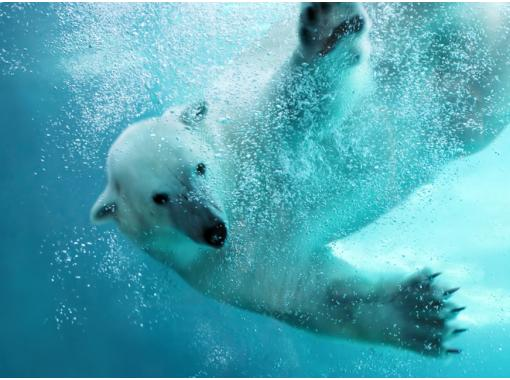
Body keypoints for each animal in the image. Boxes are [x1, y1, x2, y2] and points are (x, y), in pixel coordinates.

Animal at [91, 2, 510, 354]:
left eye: (199, 167)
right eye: (159, 199)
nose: (215, 230)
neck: (239, 193)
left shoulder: (252, 129)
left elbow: (302, 100)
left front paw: (329, 29)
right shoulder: (227, 271)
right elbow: (315, 294)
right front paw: (423, 312)